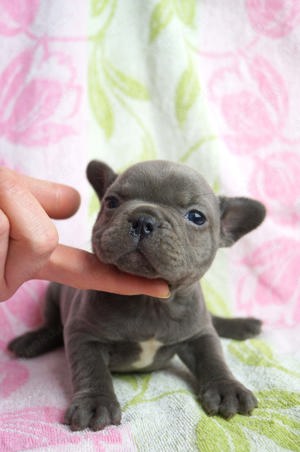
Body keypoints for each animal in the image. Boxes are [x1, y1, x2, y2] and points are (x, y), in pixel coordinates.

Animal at [8, 160, 264, 430]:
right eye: (111, 202)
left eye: (197, 217)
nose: (143, 219)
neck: (149, 301)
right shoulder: (84, 335)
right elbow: (92, 369)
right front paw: (95, 403)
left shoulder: (199, 333)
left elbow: (213, 357)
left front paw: (227, 389)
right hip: (53, 292)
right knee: (52, 324)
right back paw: (33, 340)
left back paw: (242, 325)